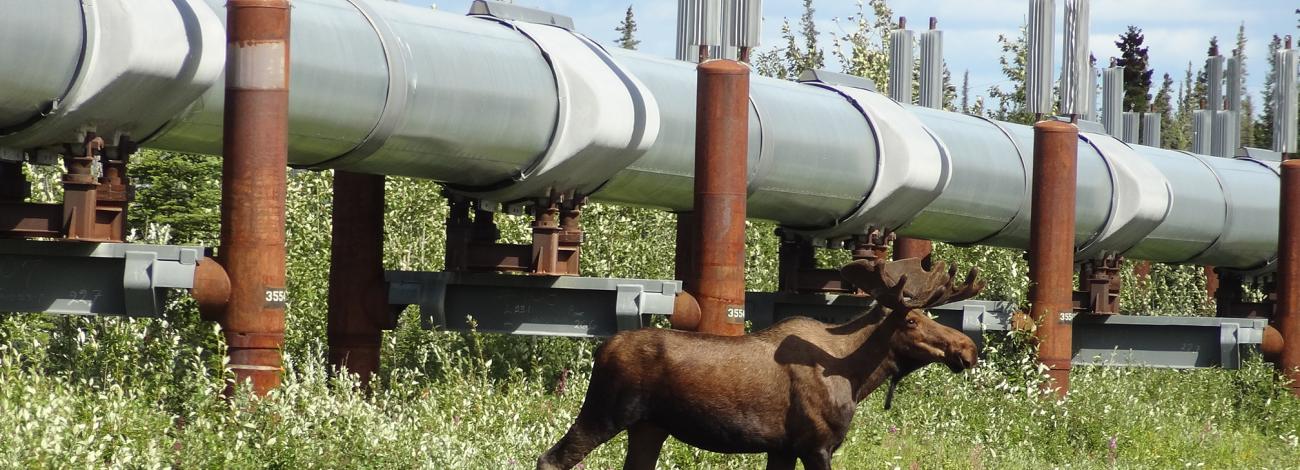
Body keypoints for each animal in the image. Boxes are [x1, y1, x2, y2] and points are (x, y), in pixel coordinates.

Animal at [538, 257, 982, 470]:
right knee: (550, 459)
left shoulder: (783, 448)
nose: (968, 348)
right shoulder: (816, 444)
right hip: (604, 413)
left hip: (649, 428)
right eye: (911, 320)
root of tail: (602, 349)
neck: (856, 376)